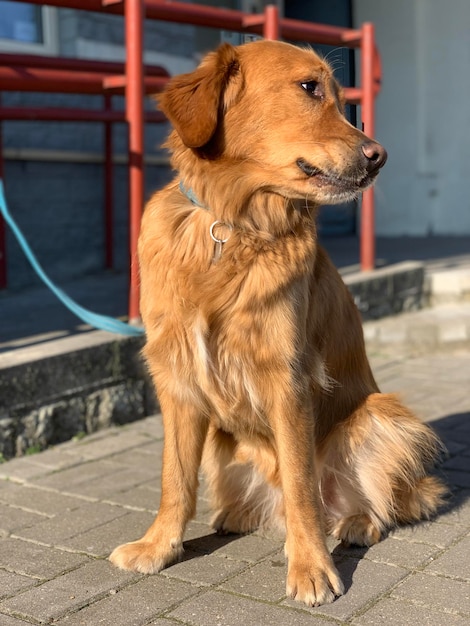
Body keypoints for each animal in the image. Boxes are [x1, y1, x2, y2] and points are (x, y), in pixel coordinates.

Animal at [109, 40, 444, 604]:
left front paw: (310, 567)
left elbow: (301, 486)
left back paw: (356, 521)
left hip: (381, 416)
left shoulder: (286, 376)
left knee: (375, 502)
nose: (379, 156)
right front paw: (159, 545)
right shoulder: (176, 376)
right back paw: (237, 515)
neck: (232, 225)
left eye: (340, 96)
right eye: (309, 88)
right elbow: (175, 479)